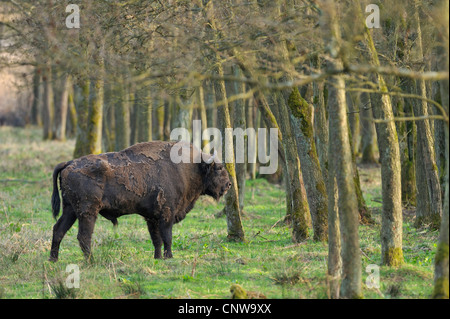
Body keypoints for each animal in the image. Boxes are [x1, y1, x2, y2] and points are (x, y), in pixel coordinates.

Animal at [49, 141, 232, 262]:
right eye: (219, 168)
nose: (229, 184)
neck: (192, 167)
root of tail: (69, 163)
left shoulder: (152, 217)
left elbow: (156, 239)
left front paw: (158, 257)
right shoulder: (166, 214)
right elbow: (167, 236)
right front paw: (169, 257)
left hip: (70, 210)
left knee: (58, 230)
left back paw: (53, 259)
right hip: (87, 212)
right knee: (83, 236)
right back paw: (91, 261)